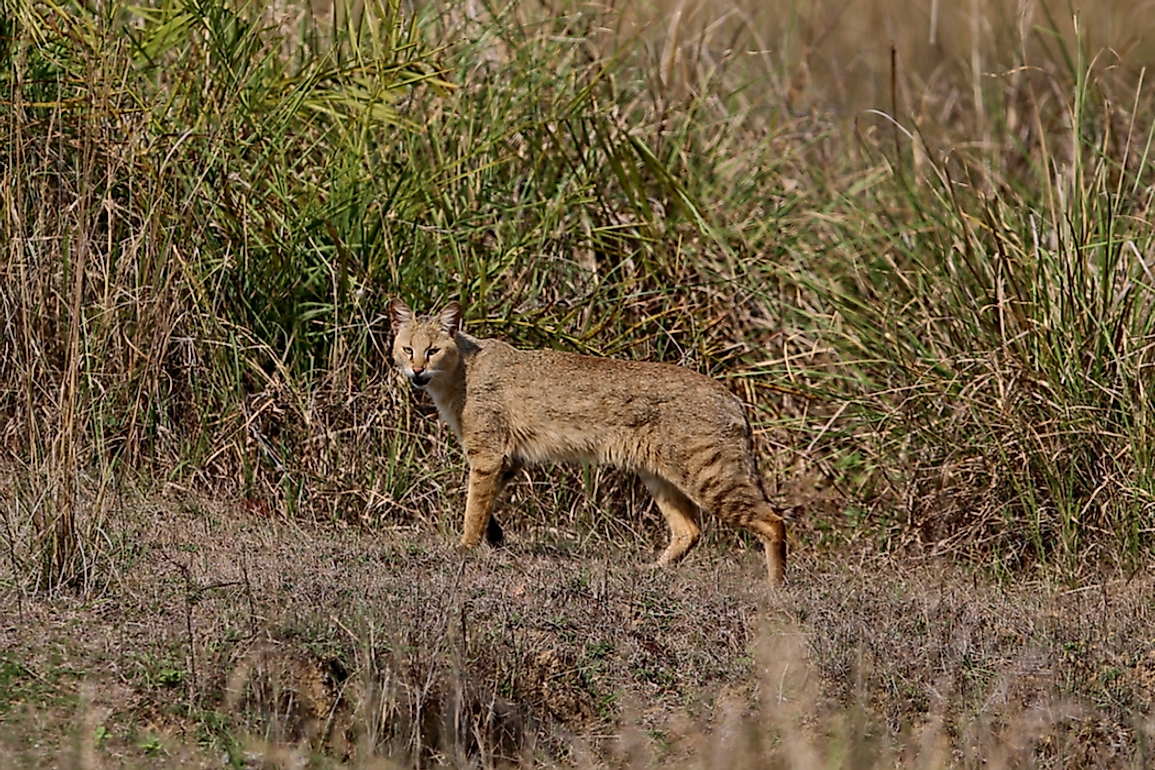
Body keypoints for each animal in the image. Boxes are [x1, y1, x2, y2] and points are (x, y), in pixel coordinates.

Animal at [388, 300, 785, 584]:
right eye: (408, 349)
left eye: (433, 350)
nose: (417, 371)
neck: (460, 374)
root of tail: (733, 398)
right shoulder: (507, 459)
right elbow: (486, 506)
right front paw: (494, 538)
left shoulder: (487, 453)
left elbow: (474, 507)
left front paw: (466, 548)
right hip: (661, 479)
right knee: (690, 530)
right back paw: (652, 571)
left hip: (710, 479)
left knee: (774, 521)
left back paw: (775, 587)